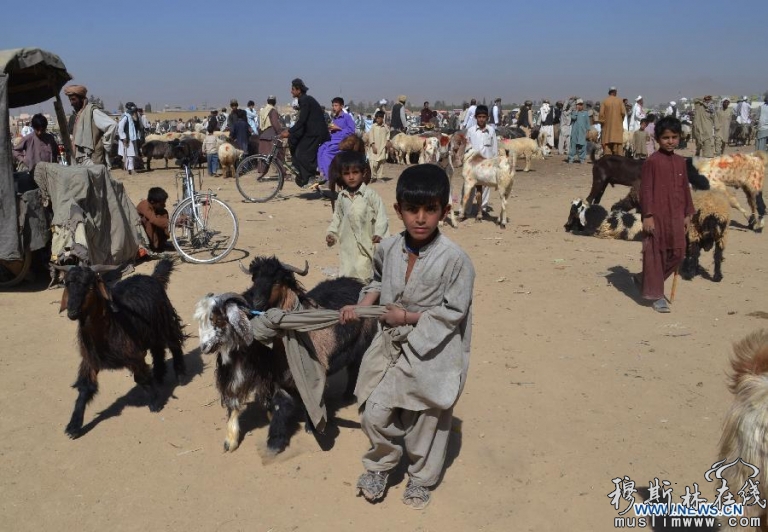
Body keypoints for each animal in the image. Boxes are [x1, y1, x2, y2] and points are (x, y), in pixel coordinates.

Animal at [60, 258, 186, 436]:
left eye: (90, 286)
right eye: (67, 285)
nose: (72, 313)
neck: (108, 325)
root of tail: (152, 277)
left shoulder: (133, 355)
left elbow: (141, 378)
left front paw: (155, 402)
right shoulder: (90, 359)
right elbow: (85, 388)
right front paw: (74, 425)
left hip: (165, 320)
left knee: (174, 343)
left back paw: (180, 375)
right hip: (150, 330)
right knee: (158, 349)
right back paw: (159, 374)